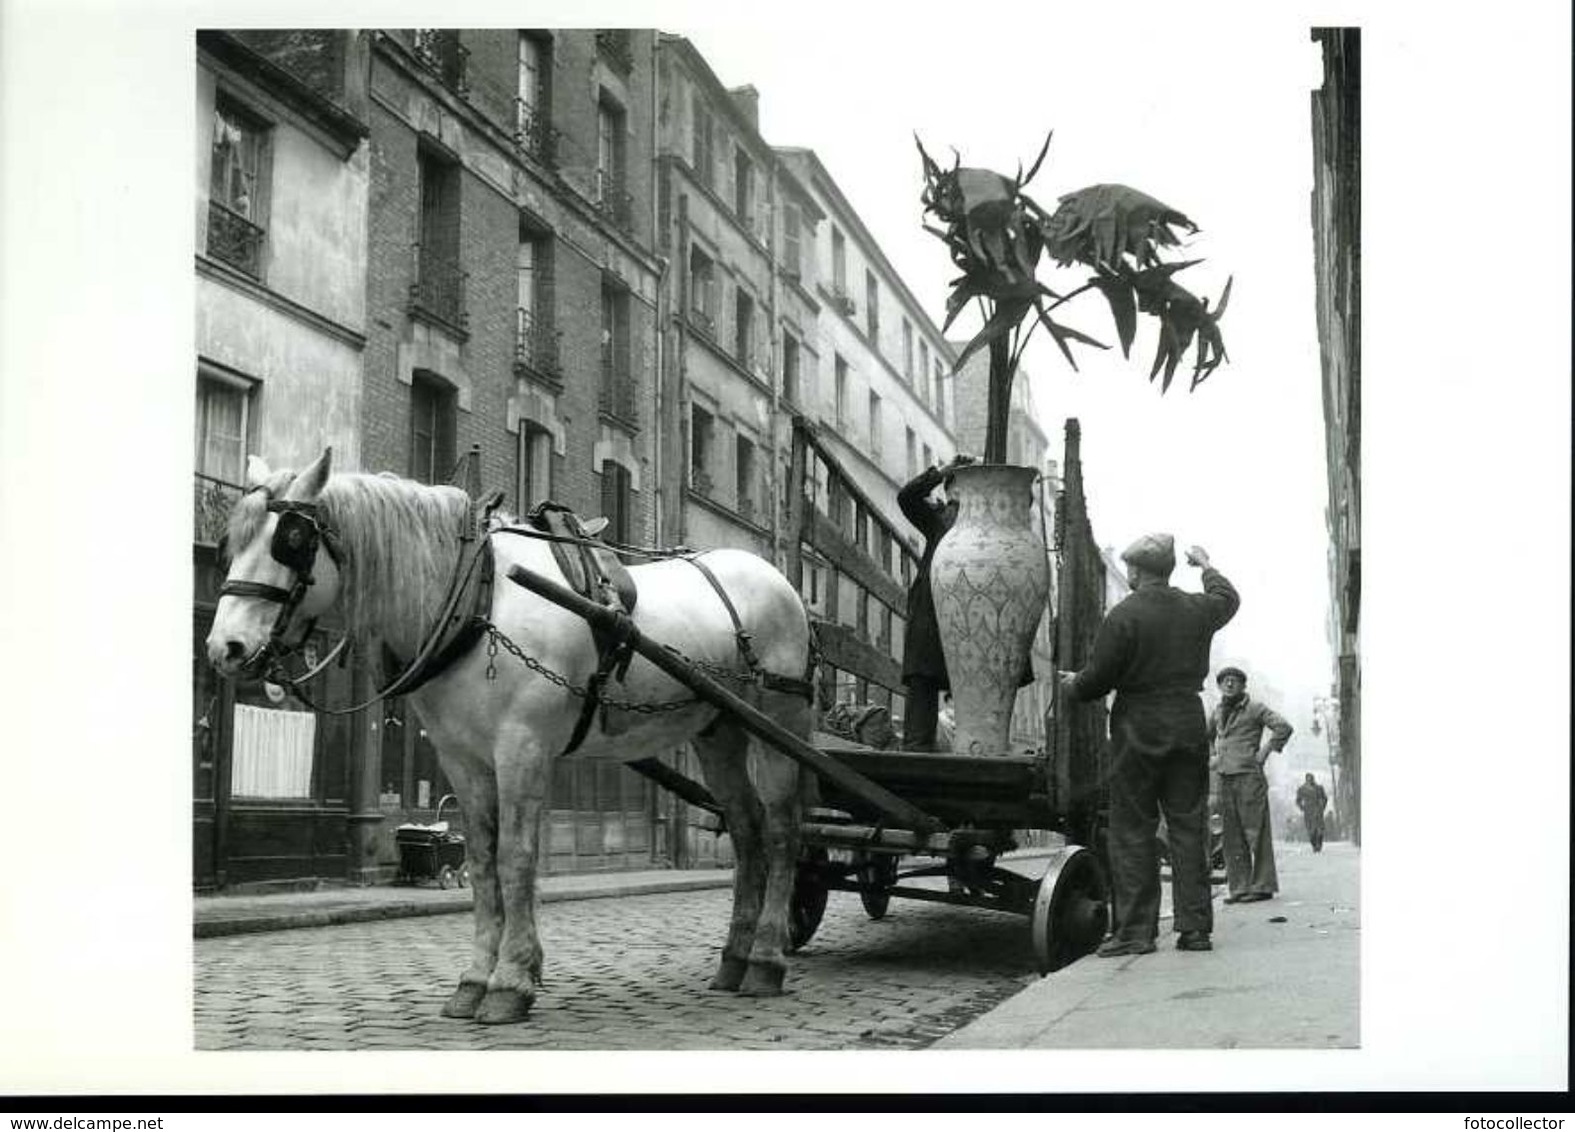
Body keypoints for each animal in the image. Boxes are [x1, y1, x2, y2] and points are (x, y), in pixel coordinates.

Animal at [206, 450, 812, 1026]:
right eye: (233, 540)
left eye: (292, 540)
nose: (223, 648)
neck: (478, 604)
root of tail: (779, 580)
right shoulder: (463, 759)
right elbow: (479, 862)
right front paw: (475, 980)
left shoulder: (522, 748)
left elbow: (515, 859)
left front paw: (511, 982)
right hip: (720, 732)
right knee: (748, 833)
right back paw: (735, 958)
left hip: (778, 727)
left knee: (783, 834)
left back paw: (766, 960)